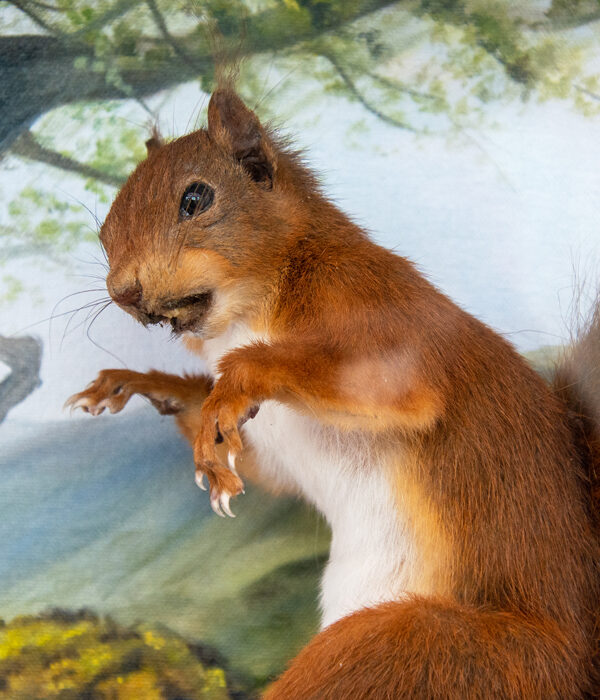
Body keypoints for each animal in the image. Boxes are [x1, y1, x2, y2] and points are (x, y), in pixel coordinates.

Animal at [66, 88, 600, 698]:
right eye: (105, 228)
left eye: (195, 199)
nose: (123, 293)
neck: (248, 313)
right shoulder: (276, 450)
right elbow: (266, 469)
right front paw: (150, 385)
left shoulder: (376, 313)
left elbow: (397, 391)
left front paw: (231, 385)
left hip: (413, 652)